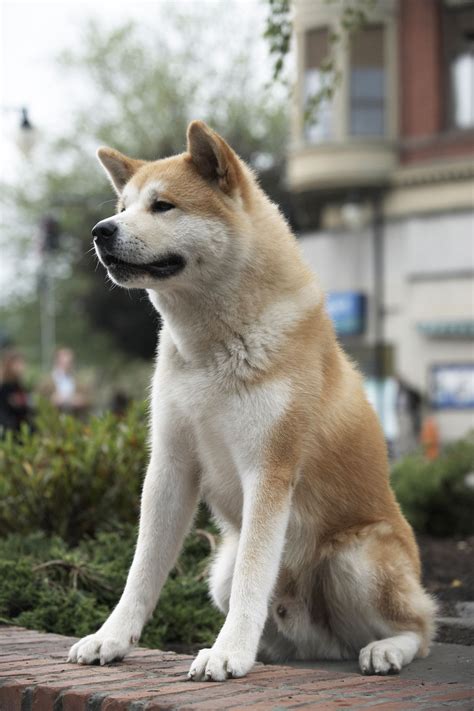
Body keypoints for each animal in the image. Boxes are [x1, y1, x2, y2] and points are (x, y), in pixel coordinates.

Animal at [67, 121, 436, 680]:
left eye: (163, 206)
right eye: (124, 205)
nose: (100, 230)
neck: (212, 348)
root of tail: (323, 646)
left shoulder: (269, 469)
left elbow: (252, 576)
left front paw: (228, 653)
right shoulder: (171, 466)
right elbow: (142, 571)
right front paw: (111, 638)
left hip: (356, 558)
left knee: (420, 628)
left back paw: (386, 649)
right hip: (219, 566)